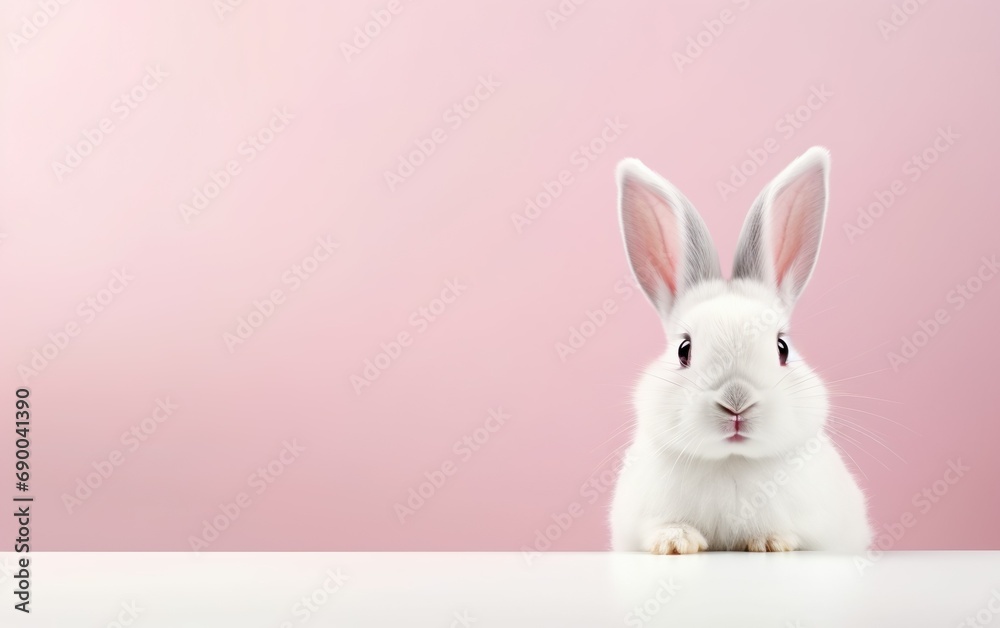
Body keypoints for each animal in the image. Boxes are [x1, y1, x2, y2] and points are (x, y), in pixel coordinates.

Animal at [609, 147, 872, 554]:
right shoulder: (637, 520)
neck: (731, 460)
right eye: (684, 349)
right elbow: (657, 528)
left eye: (782, 348)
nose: (737, 402)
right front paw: (677, 542)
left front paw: (769, 541)